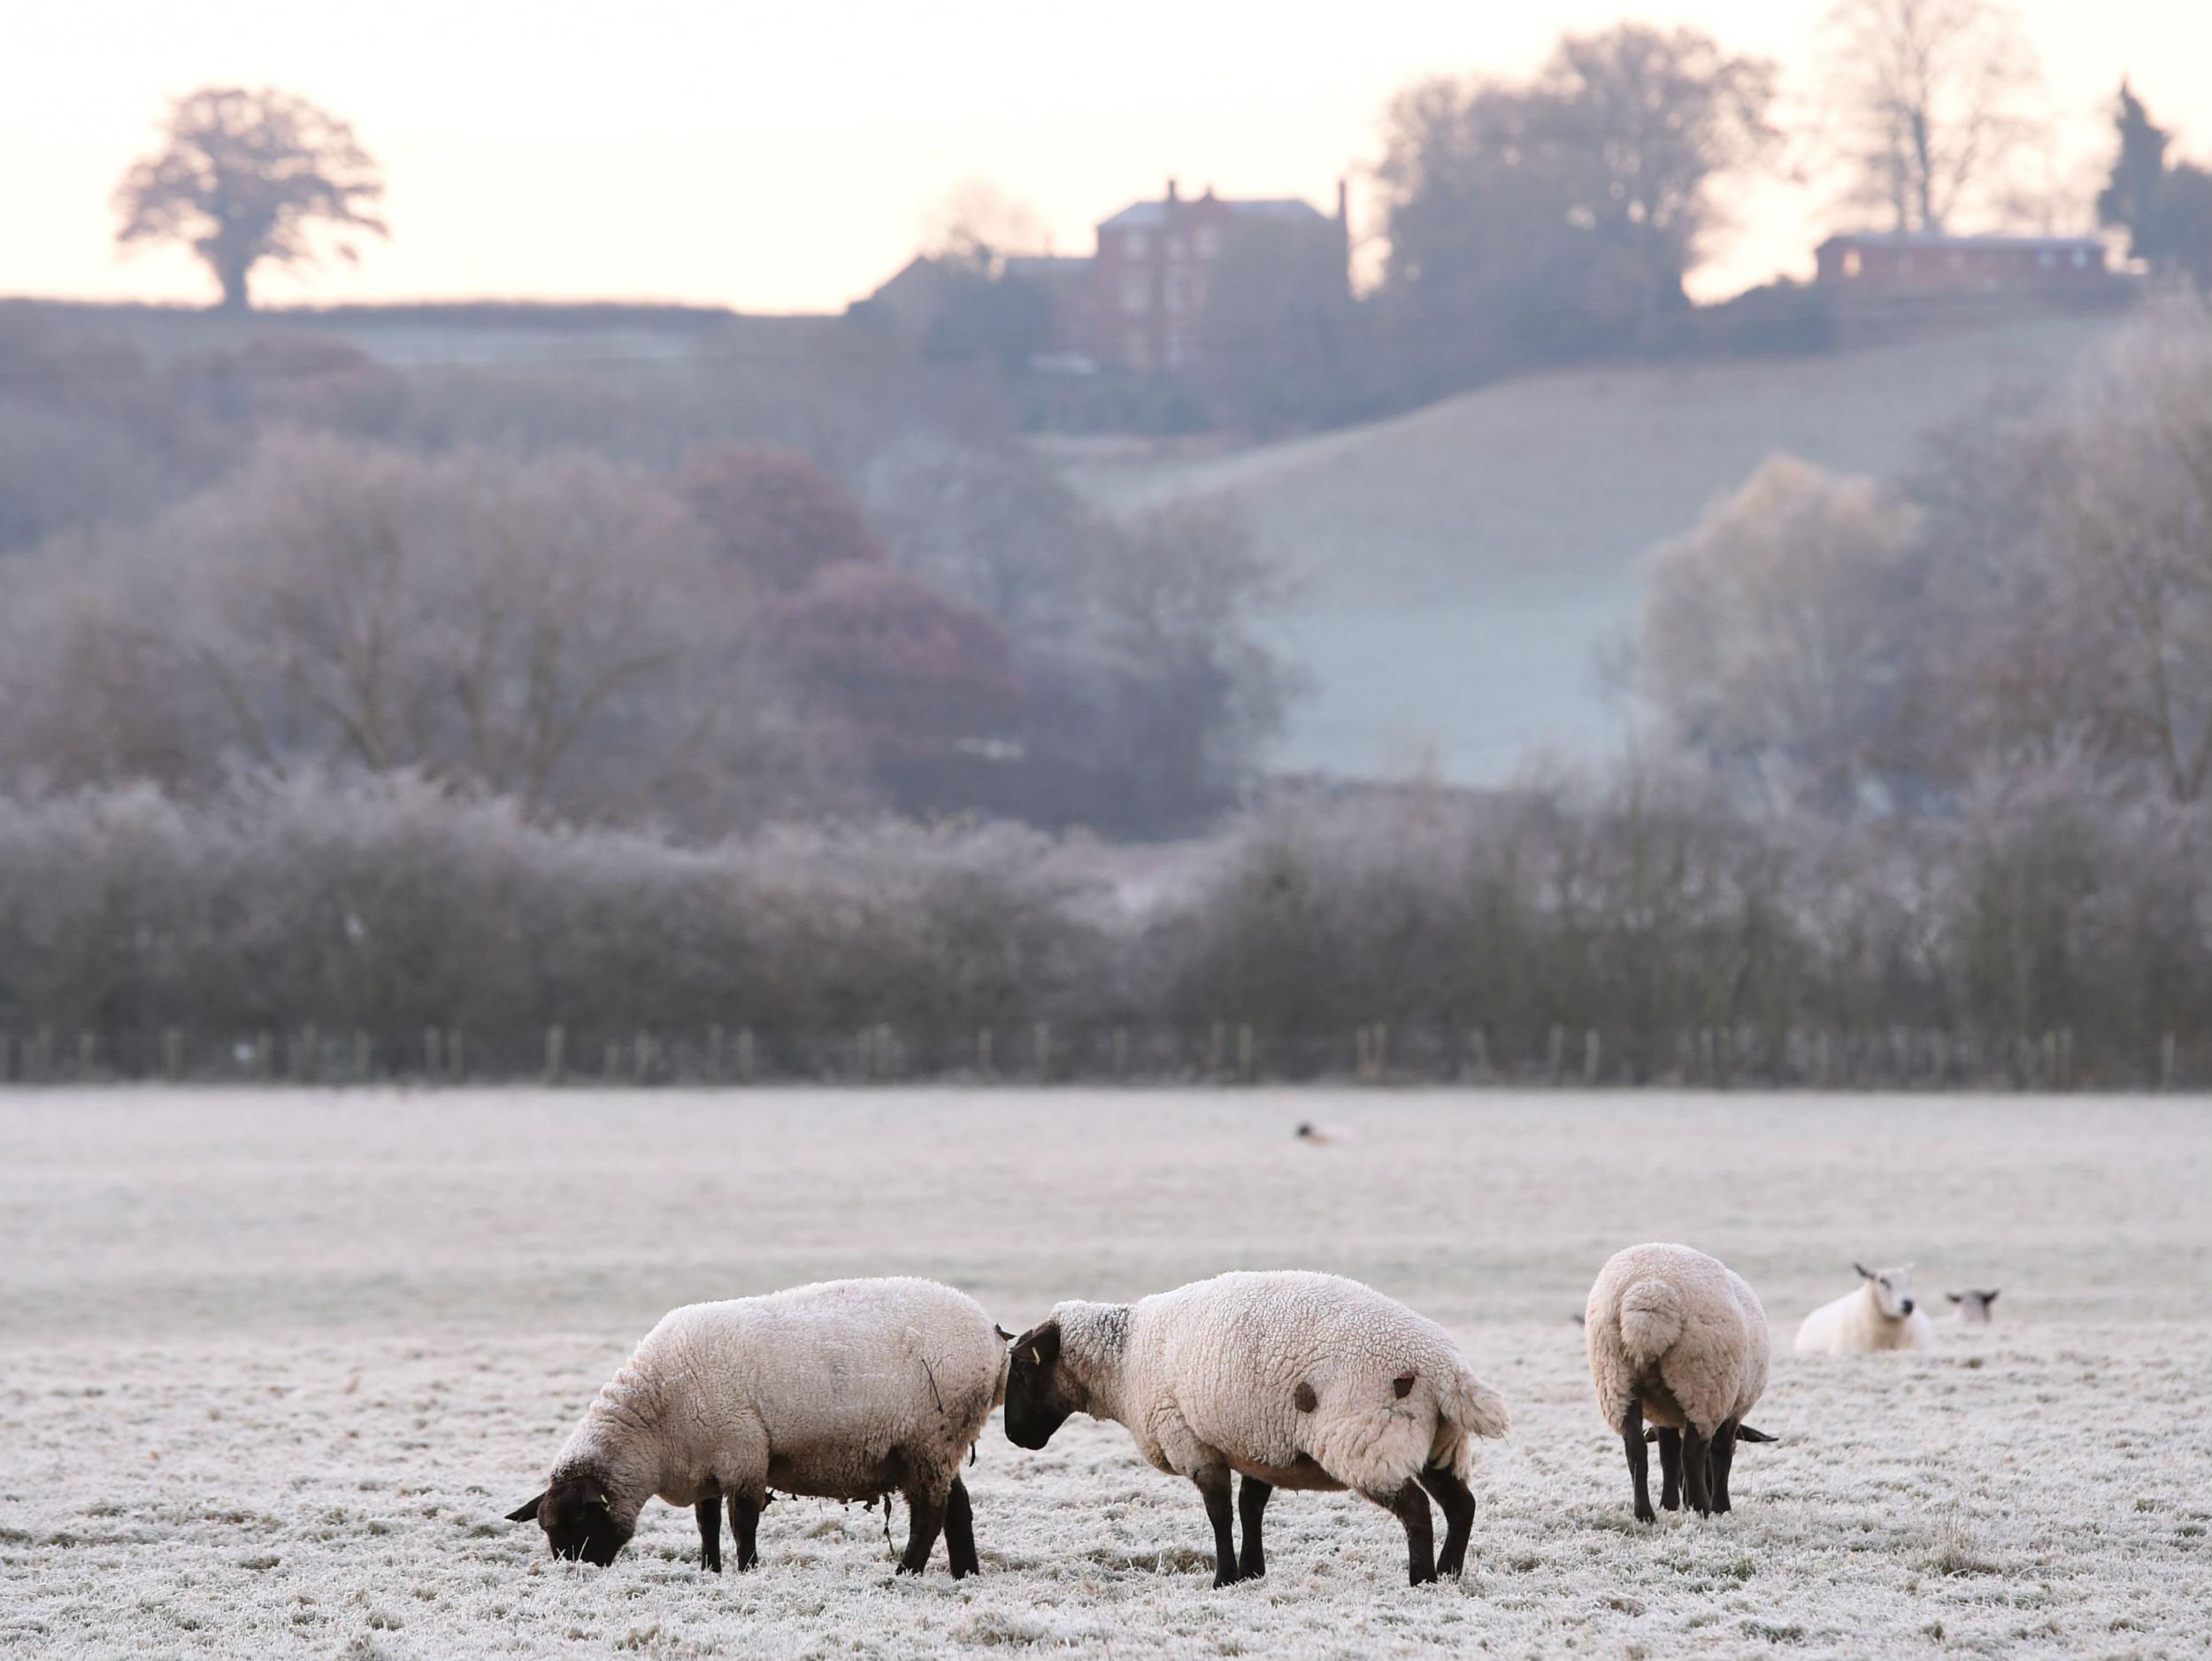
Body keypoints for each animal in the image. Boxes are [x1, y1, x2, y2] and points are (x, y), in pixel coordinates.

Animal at [503, 1277, 1006, 1576]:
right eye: (547, 1529)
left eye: (580, 1520)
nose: (575, 1574)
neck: (654, 1421)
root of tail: (991, 1337)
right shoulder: (704, 1463)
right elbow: (706, 1523)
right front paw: (709, 1569)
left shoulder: (742, 1456)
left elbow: (742, 1522)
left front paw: (746, 1570)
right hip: (934, 1447)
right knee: (957, 1507)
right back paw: (965, 1572)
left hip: (932, 1438)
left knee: (930, 1512)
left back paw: (906, 1572)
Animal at [1002, 1269, 1510, 1587]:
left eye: (1023, 1371)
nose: (1014, 1437)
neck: (1124, 1361)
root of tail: (1443, 1366)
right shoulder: (1253, 1444)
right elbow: (1250, 1509)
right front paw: (1251, 1572)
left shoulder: (1194, 1443)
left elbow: (1221, 1514)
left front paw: (1224, 1578)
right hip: (1438, 1443)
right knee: (1462, 1506)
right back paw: (1449, 1574)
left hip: (1368, 1439)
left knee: (1417, 1510)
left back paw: (1421, 1579)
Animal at [1586, 1243, 1769, 1522]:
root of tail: (1651, 1291)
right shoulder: (1732, 1410)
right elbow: (1720, 1454)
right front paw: (1721, 1507)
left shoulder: (1664, 1415)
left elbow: (1668, 1455)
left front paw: (1669, 1504)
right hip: (1704, 1384)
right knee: (1692, 1453)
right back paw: (1701, 1508)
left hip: (1615, 1378)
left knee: (1636, 1448)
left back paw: (1645, 1513)